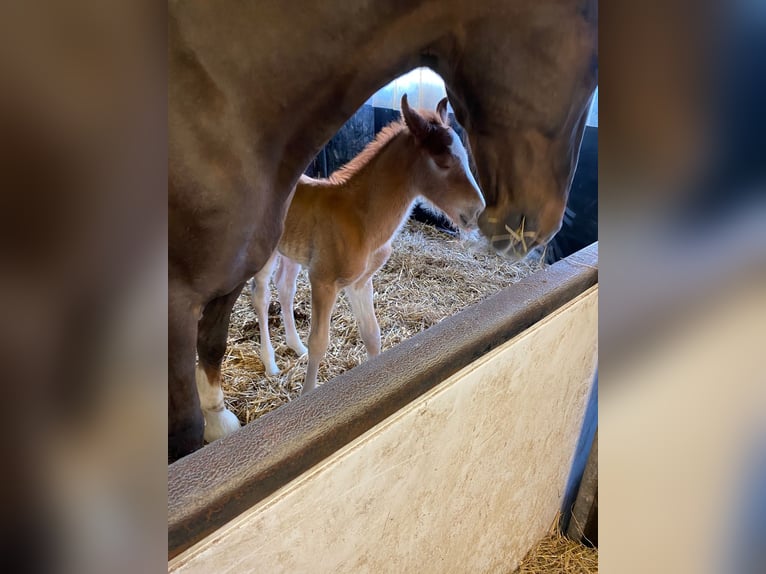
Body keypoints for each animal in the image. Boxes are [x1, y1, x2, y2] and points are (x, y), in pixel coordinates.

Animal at [252, 95, 486, 396]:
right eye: (442, 161)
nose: (477, 211)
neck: (361, 220)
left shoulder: (360, 282)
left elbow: (372, 336)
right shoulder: (323, 281)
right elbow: (320, 342)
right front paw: (308, 395)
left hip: (292, 253)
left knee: (285, 287)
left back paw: (296, 346)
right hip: (266, 253)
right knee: (261, 295)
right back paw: (270, 364)